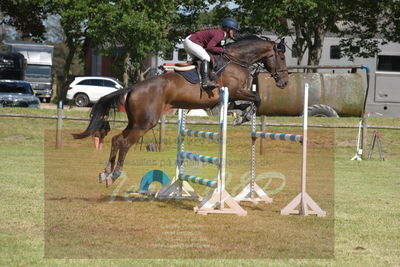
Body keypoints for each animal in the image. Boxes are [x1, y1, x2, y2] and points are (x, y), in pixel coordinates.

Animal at [72, 35, 288, 187]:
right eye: (281, 56)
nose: (284, 82)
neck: (237, 60)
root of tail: (133, 88)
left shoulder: (231, 96)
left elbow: (243, 104)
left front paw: (241, 116)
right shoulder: (234, 91)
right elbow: (257, 98)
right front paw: (246, 116)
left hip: (136, 121)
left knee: (117, 139)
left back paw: (105, 173)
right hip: (146, 122)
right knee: (124, 143)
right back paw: (114, 175)